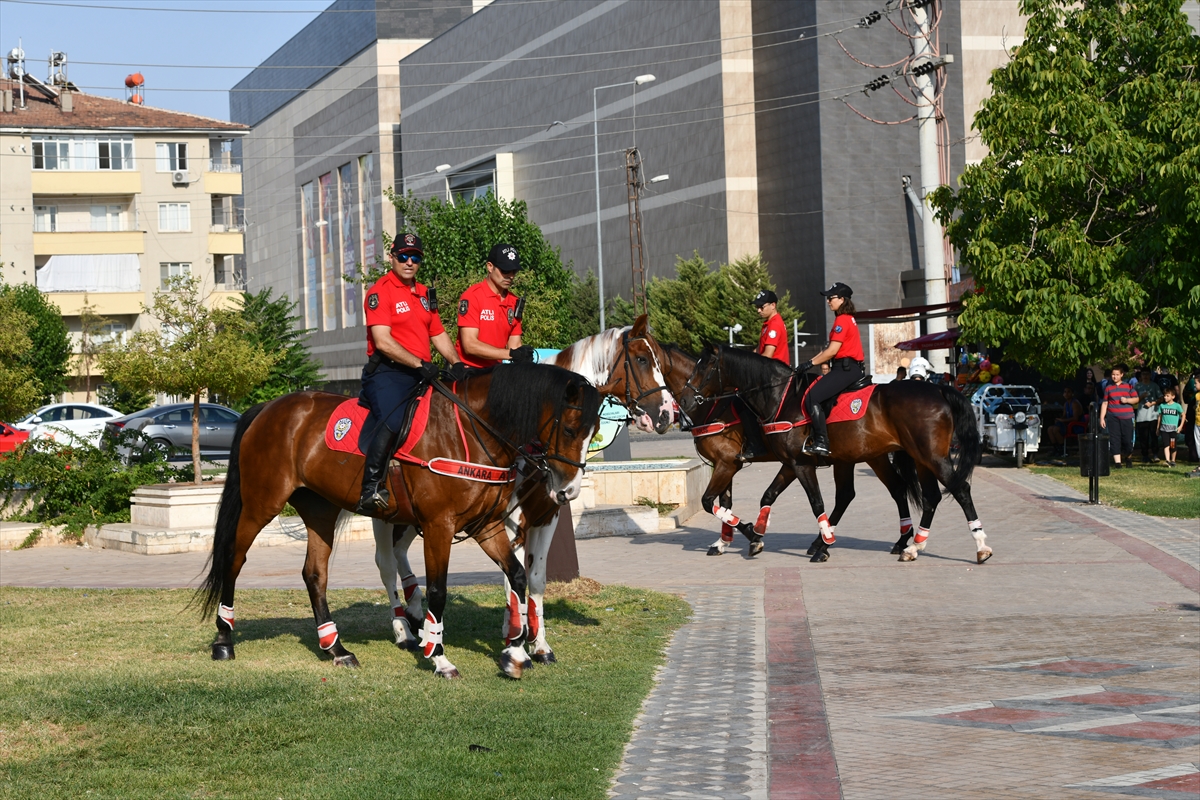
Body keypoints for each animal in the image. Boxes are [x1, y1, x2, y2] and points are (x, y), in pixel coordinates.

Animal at [200, 362, 604, 681]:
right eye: (570, 430)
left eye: (593, 431)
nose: (568, 489)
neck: (469, 430)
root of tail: (270, 407)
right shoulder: (439, 526)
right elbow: (438, 591)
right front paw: (438, 656)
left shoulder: (485, 525)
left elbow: (518, 577)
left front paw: (516, 653)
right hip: (261, 503)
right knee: (234, 559)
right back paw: (224, 639)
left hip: (320, 510)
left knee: (315, 574)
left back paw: (336, 648)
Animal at [374, 316, 676, 662]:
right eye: (641, 360)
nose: (667, 414)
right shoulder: (508, 519)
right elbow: (511, 579)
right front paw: (514, 637)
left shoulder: (546, 515)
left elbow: (535, 578)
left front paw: (536, 643)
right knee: (385, 561)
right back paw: (402, 629)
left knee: (399, 550)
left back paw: (413, 608)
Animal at [681, 345, 988, 563]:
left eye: (705, 366)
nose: (685, 400)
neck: (780, 397)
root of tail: (939, 389)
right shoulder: (791, 463)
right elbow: (769, 495)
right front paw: (754, 534)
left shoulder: (797, 464)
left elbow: (816, 501)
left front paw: (823, 544)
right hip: (912, 458)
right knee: (925, 495)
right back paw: (912, 545)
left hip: (930, 457)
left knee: (960, 489)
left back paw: (981, 545)